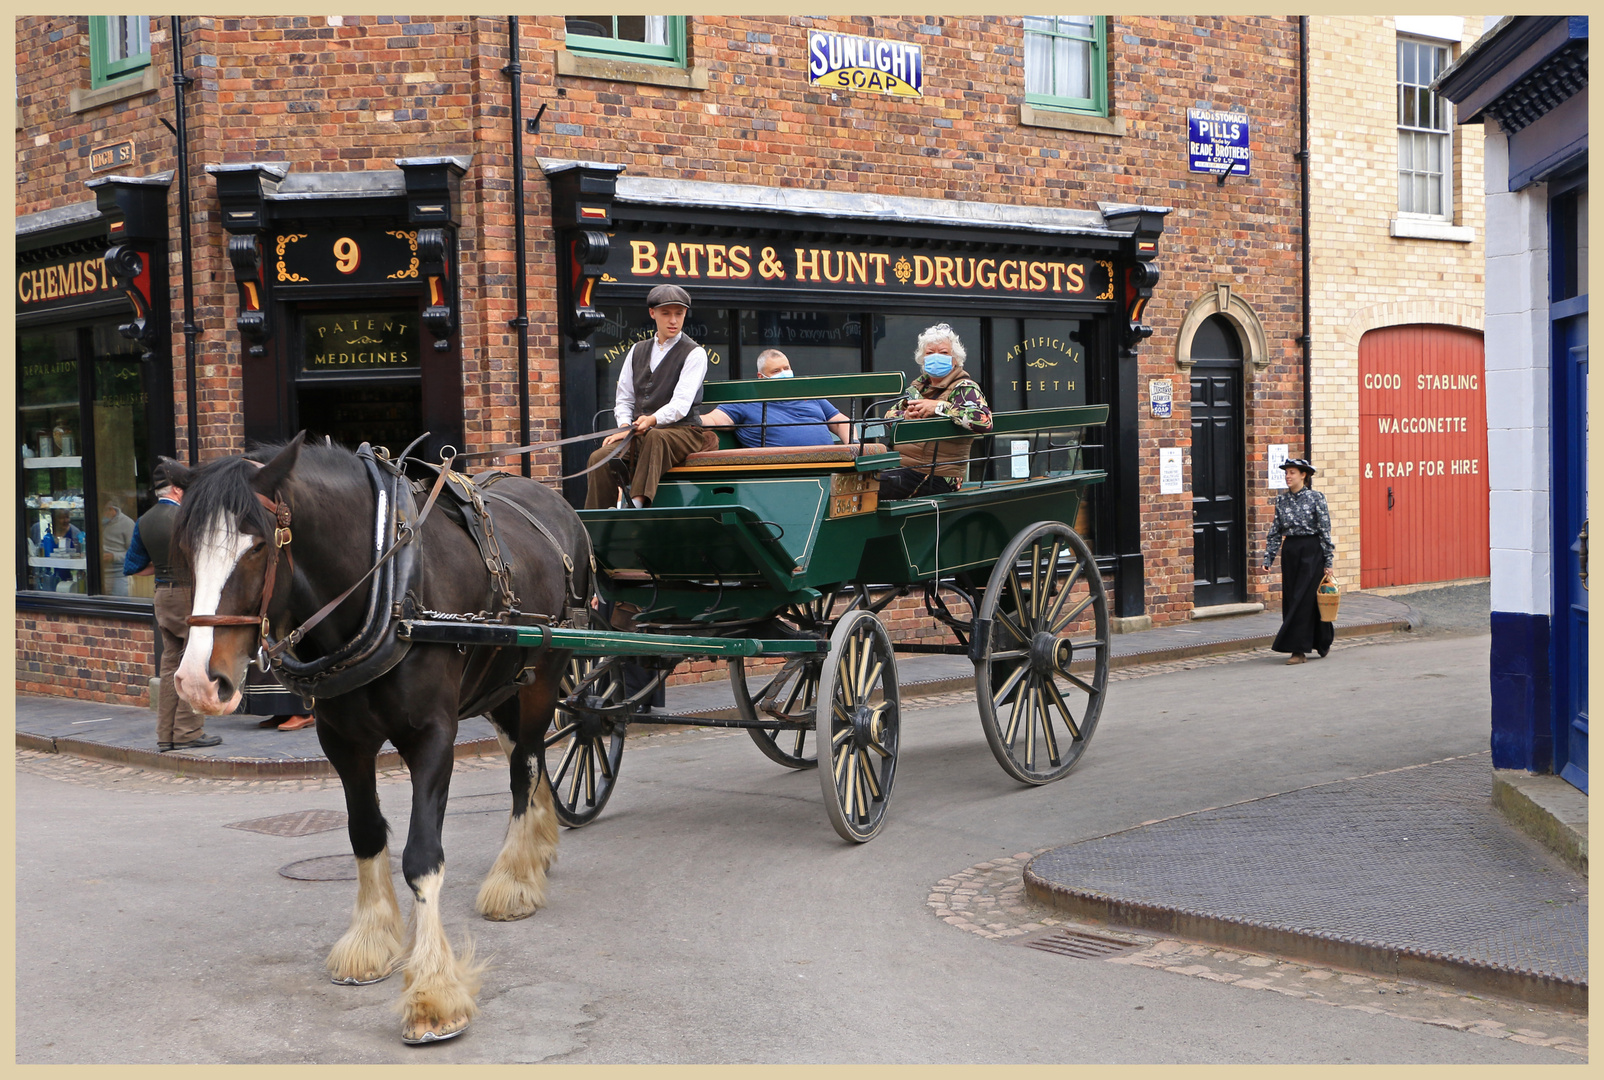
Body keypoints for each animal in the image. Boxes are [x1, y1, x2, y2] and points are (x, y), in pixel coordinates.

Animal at [167, 433, 590, 1046]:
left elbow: (422, 856)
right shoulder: (341, 741)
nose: (199, 683)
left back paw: (513, 878)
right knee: (524, 758)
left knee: (526, 768)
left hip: (544, 672)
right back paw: (537, 852)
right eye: (183, 550)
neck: (386, 590)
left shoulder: (434, 735)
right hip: (502, 682)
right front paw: (369, 943)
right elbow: (365, 834)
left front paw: (433, 994)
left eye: (257, 547)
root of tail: (554, 500)